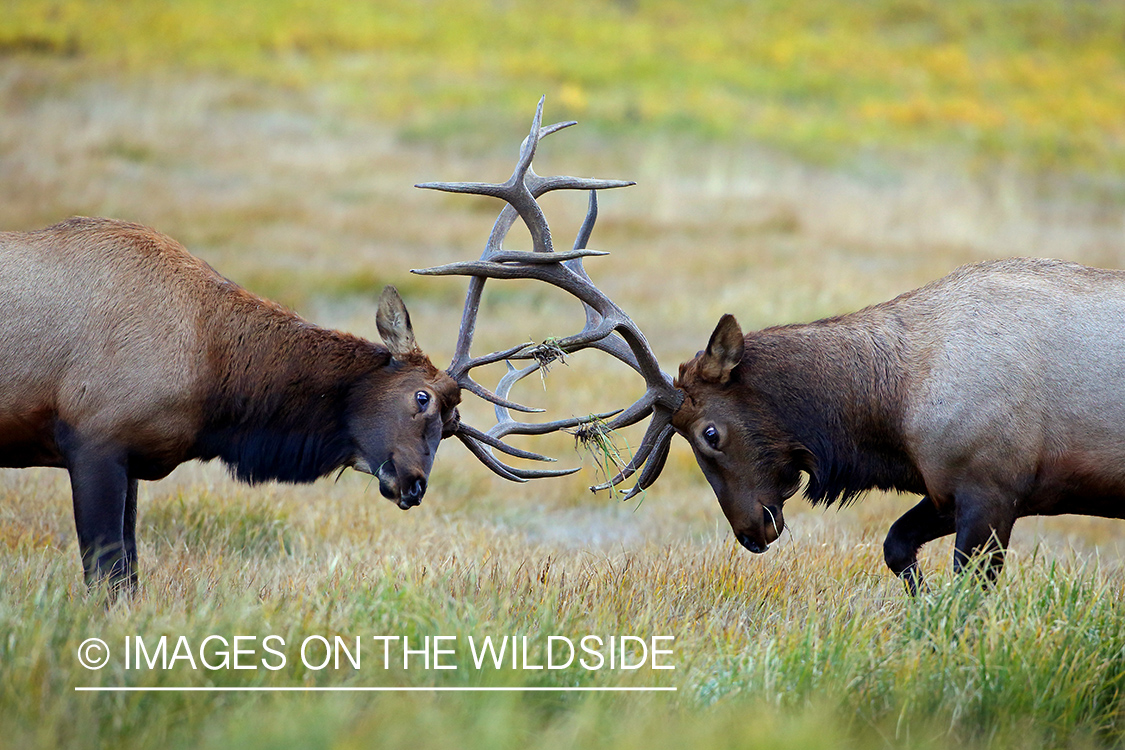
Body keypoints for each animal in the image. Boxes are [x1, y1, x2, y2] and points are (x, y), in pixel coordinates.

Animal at [0, 101, 634, 593]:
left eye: (454, 427)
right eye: (423, 398)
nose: (415, 485)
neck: (212, 373)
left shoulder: (130, 455)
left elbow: (128, 577)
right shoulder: (94, 438)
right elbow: (107, 579)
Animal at [418, 101, 1125, 593]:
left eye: (709, 433)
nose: (751, 530)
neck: (895, 410)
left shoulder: (991, 485)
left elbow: (968, 599)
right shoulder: (949, 490)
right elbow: (896, 546)